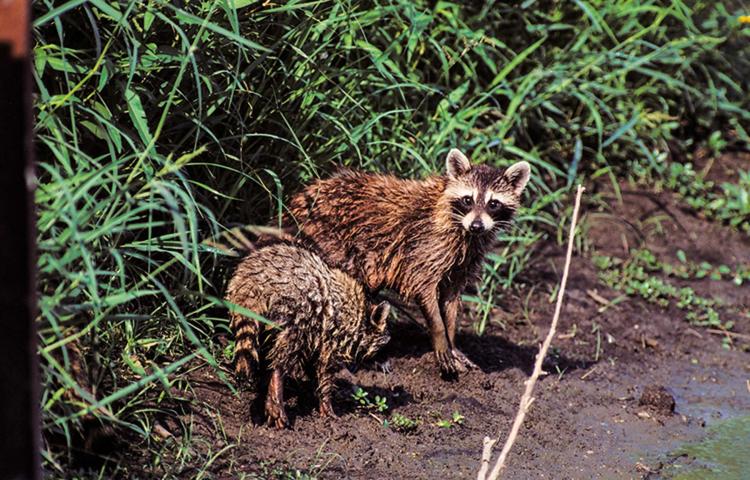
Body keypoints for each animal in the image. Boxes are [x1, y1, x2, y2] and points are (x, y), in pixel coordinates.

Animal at [226, 243, 391, 428]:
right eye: (385, 347)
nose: (389, 365)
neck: (361, 317)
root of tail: (251, 280)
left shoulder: (320, 335)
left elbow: (314, 365)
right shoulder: (332, 334)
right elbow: (324, 368)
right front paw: (326, 402)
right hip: (296, 309)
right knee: (286, 351)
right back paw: (276, 384)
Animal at [286, 149, 530, 376]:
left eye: (493, 204)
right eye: (467, 200)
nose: (477, 226)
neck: (462, 226)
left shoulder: (463, 260)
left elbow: (450, 301)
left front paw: (452, 343)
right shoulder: (427, 247)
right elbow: (424, 288)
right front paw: (440, 338)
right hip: (328, 241)